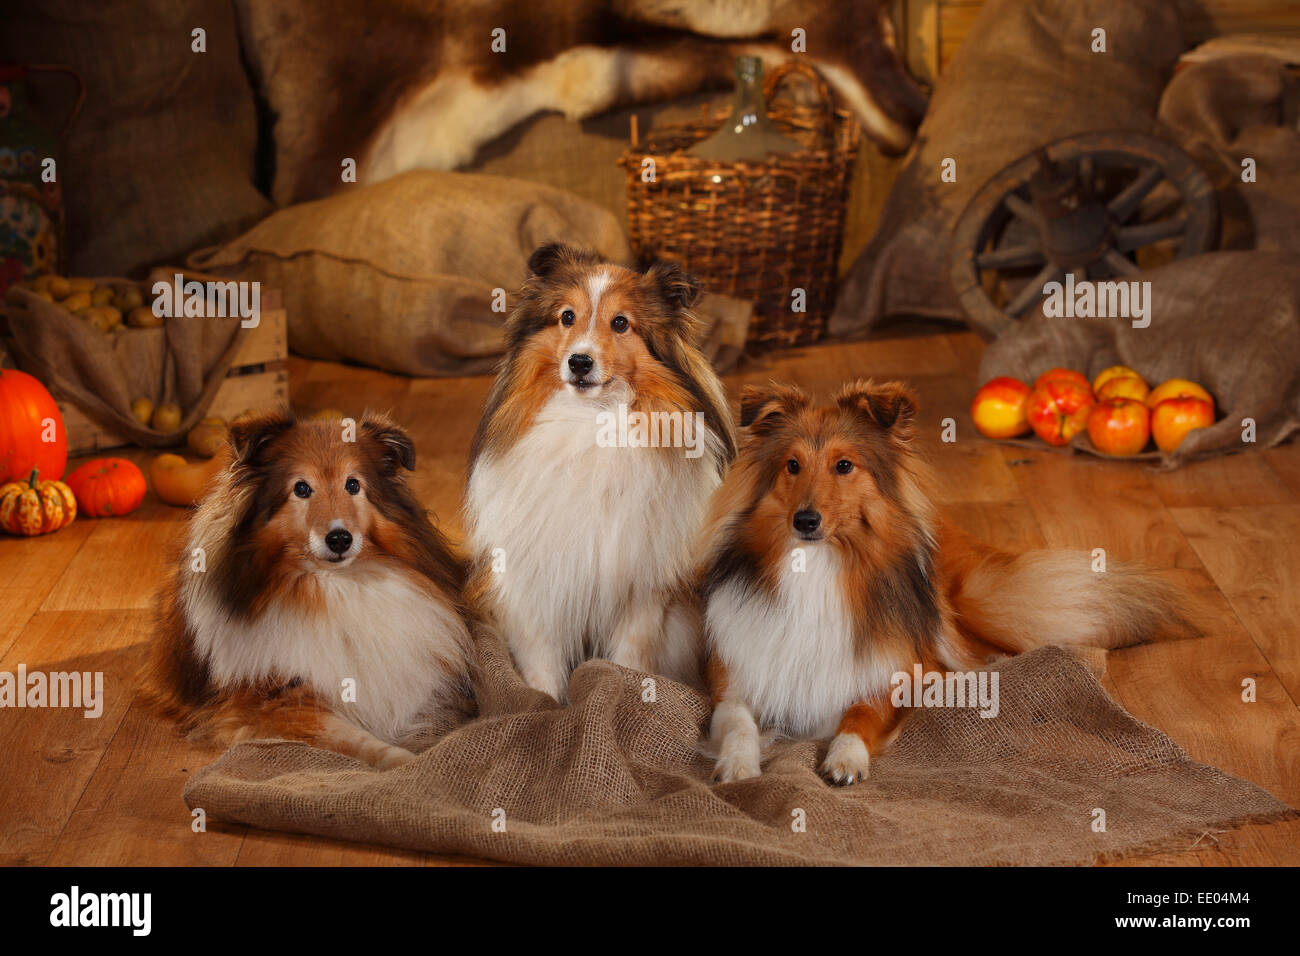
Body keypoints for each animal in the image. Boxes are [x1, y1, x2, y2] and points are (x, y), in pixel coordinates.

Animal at [142, 408, 473, 764]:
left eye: (353, 484)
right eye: (301, 488)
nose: (340, 539)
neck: (333, 586)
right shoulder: (269, 701)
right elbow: (358, 740)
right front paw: (408, 764)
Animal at [465, 243, 733, 697]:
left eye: (621, 323)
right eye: (566, 317)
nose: (579, 362)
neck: (591, 421)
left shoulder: (642, 587)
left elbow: (630, 657)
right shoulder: (536, 580)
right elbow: (542, 662)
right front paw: (545, 703)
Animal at [702, 379, 1190, 785]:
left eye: (843, 465)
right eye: (792, 465)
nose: (805, 521)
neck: (818, 567)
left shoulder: (902, 672)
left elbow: (859, 714)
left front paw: (845, 758)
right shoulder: (733, 676)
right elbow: (739, 720)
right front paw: (737, 764)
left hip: (978, 605)